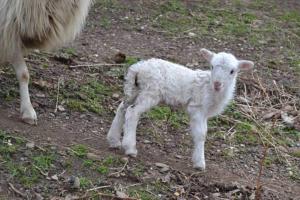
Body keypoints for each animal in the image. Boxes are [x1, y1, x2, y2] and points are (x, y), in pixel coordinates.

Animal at [107, 48, 253, 169]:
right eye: (211, 66)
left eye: (232, 71)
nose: (217, 83)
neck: (210, 89)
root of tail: (138, 68)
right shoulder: (196, 108)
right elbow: (201, 134)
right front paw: (199, 163)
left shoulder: (204, 113)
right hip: (150, 91)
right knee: (132, 112)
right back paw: (130, 148)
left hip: (134, 89)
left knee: (122, 108)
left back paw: (113, 140)